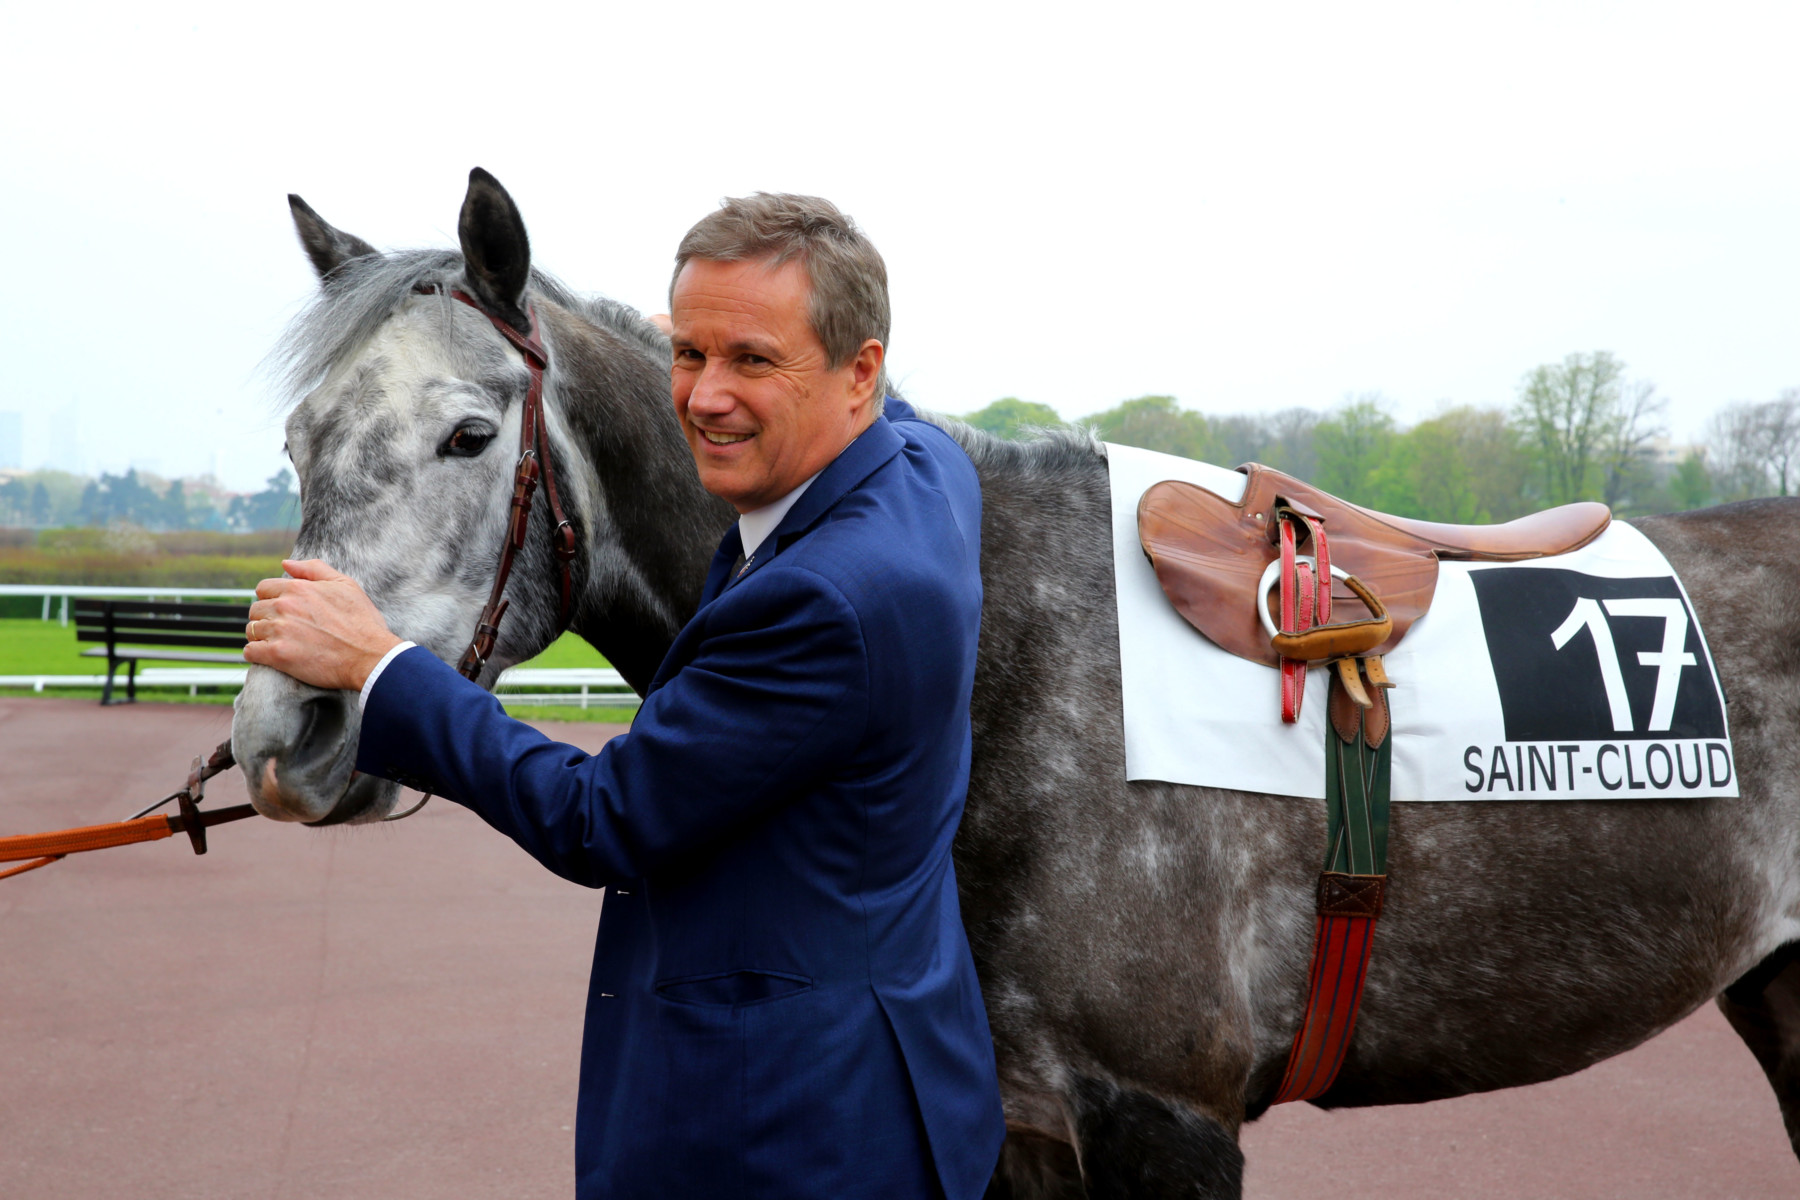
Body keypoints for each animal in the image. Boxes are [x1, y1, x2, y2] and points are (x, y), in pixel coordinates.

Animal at [232, 170, 1800, 1200]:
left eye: (468, 433)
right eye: (299, 440)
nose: (285, 729)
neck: (1010, 656)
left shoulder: (1165, 1120)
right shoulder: (1001, 1119)